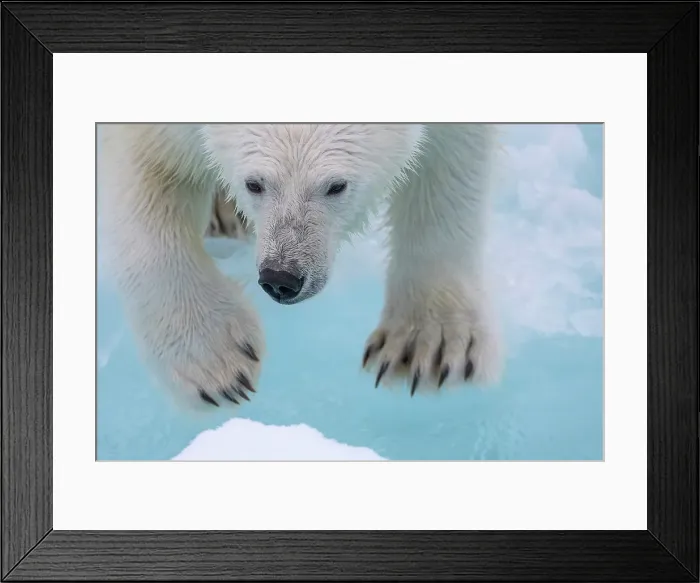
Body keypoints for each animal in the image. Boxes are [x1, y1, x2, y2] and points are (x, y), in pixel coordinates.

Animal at [97, 123, 503, 411]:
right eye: (255, 183)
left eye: (337, 186)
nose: (282, 277)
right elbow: (149, 170)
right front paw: (215, 362)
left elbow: (450, 166)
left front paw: (431, 346)